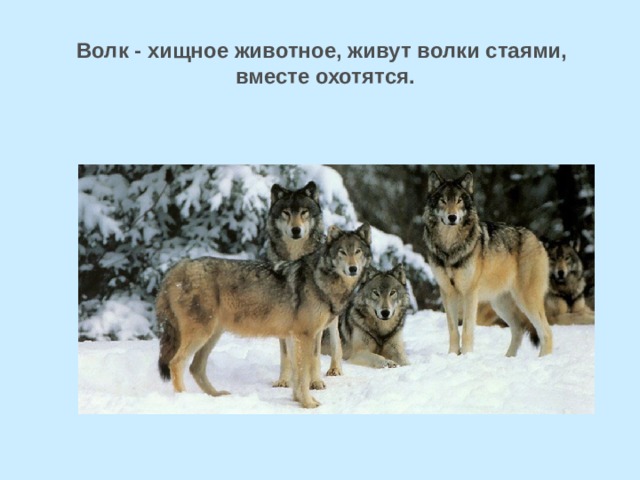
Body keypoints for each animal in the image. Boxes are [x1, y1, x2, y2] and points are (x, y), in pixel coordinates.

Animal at [157, 223, 372, 409]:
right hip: (201, 335)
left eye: (357, 252)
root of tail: (178, 267)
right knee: (176, 363)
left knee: (195, 368)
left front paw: (297, 399)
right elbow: (303, 374)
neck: (321, 280)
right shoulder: (305, 336)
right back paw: (184, 399)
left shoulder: (294, 337)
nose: (353, 269)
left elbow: (297, 372)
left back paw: (216, 395)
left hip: (212, 336)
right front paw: (308, 403)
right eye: (342, 252)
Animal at [266, 181, 344, 388]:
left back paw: (335, 369)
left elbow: (315, 355)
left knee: (336, 341)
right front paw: (284, 380)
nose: (296, 230)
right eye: (286, 212)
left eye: (303, 212)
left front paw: (315, 382)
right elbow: (286, 353)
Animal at [422, 171, 553, 357]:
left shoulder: (469, 293)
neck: (450, 247)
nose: (452, 217)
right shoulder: (447, 292)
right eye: (443, 200)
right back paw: (508, 358)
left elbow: (467, 330)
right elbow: (453, 330)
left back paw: (543, 359)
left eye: (459, 200)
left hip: (526, 300)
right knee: (519, 329)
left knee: (546, 332)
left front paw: (467, 356)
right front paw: (453, 355)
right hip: (500, 304)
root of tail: (536, 239)